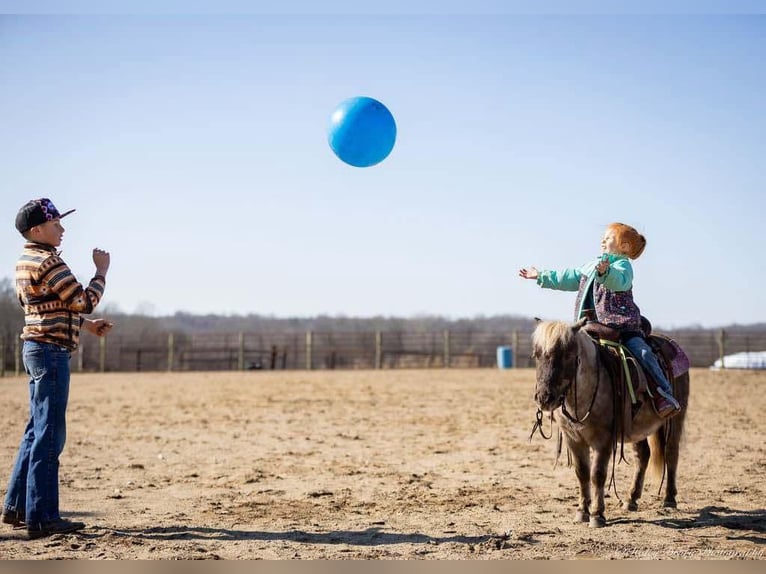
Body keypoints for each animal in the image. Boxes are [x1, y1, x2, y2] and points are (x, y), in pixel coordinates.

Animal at [536, 320, 688, 532]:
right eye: (536, 355)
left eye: (566, 354)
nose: (544, 398)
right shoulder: (573, 439)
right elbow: (582, 473)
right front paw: (582, 511)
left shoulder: (603, 440)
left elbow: (597, 474)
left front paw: (597, 514)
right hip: (638, 428)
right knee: (643, 455)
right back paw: (631, 499)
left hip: (675, 419)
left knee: (671, 453)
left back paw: (669, 499)